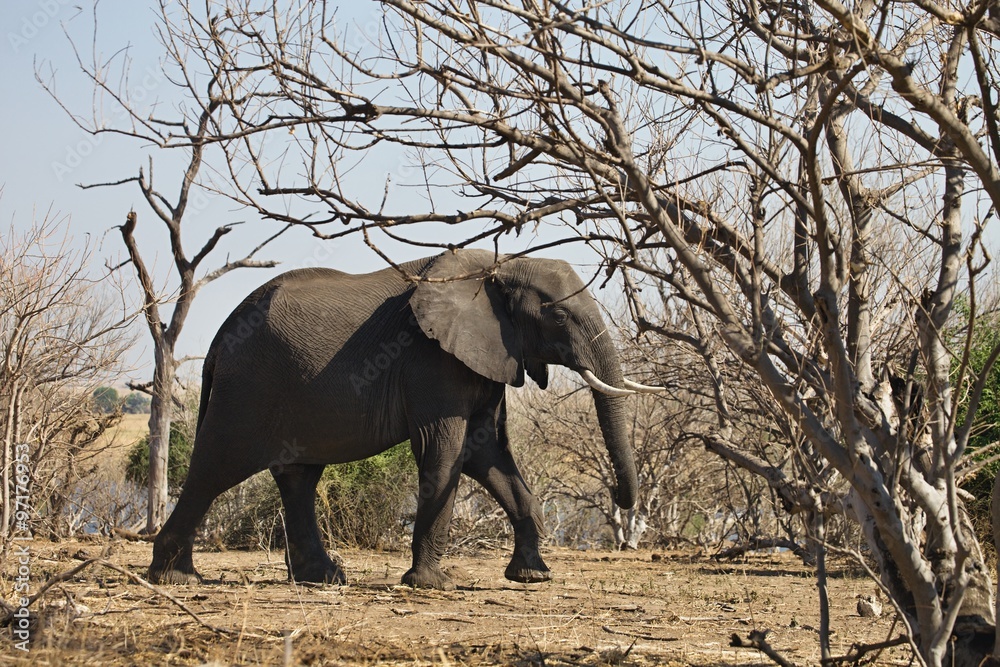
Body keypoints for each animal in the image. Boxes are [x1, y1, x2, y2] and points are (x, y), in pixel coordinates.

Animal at [148, 249, 660, 590]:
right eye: (557, 316)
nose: (621, 498)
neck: (497, 268)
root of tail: (218, 341)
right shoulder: (431, 359)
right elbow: (446, 449)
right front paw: (432, 584)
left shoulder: (486, 355)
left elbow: (487, 454)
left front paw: (532, 576)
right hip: (248, 385)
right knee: (217, 466)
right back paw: (175, 579)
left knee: (298, 476)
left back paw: (324, 579)